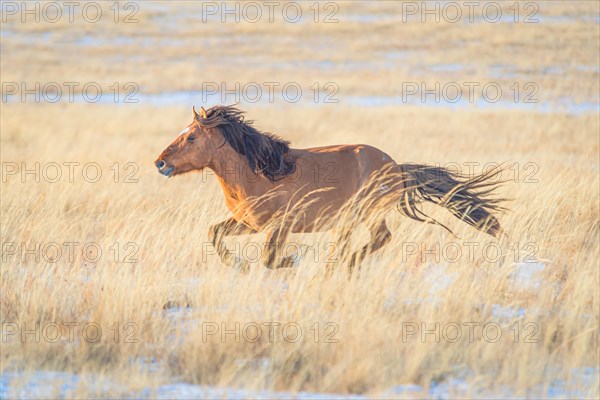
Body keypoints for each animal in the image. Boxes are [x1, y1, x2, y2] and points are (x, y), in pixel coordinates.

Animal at [152, 104, 504, 270]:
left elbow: (269, 259)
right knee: (361, 243)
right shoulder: (249, 223)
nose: (160, 163)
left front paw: (293, 262)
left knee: (380, 238)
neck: (258, 174)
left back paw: (343, 265)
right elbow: (214, 233)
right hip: (347, 222)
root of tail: (396, 167)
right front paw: (238, 265)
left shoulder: (280, 226)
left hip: (364, 215)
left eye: (191, 137)